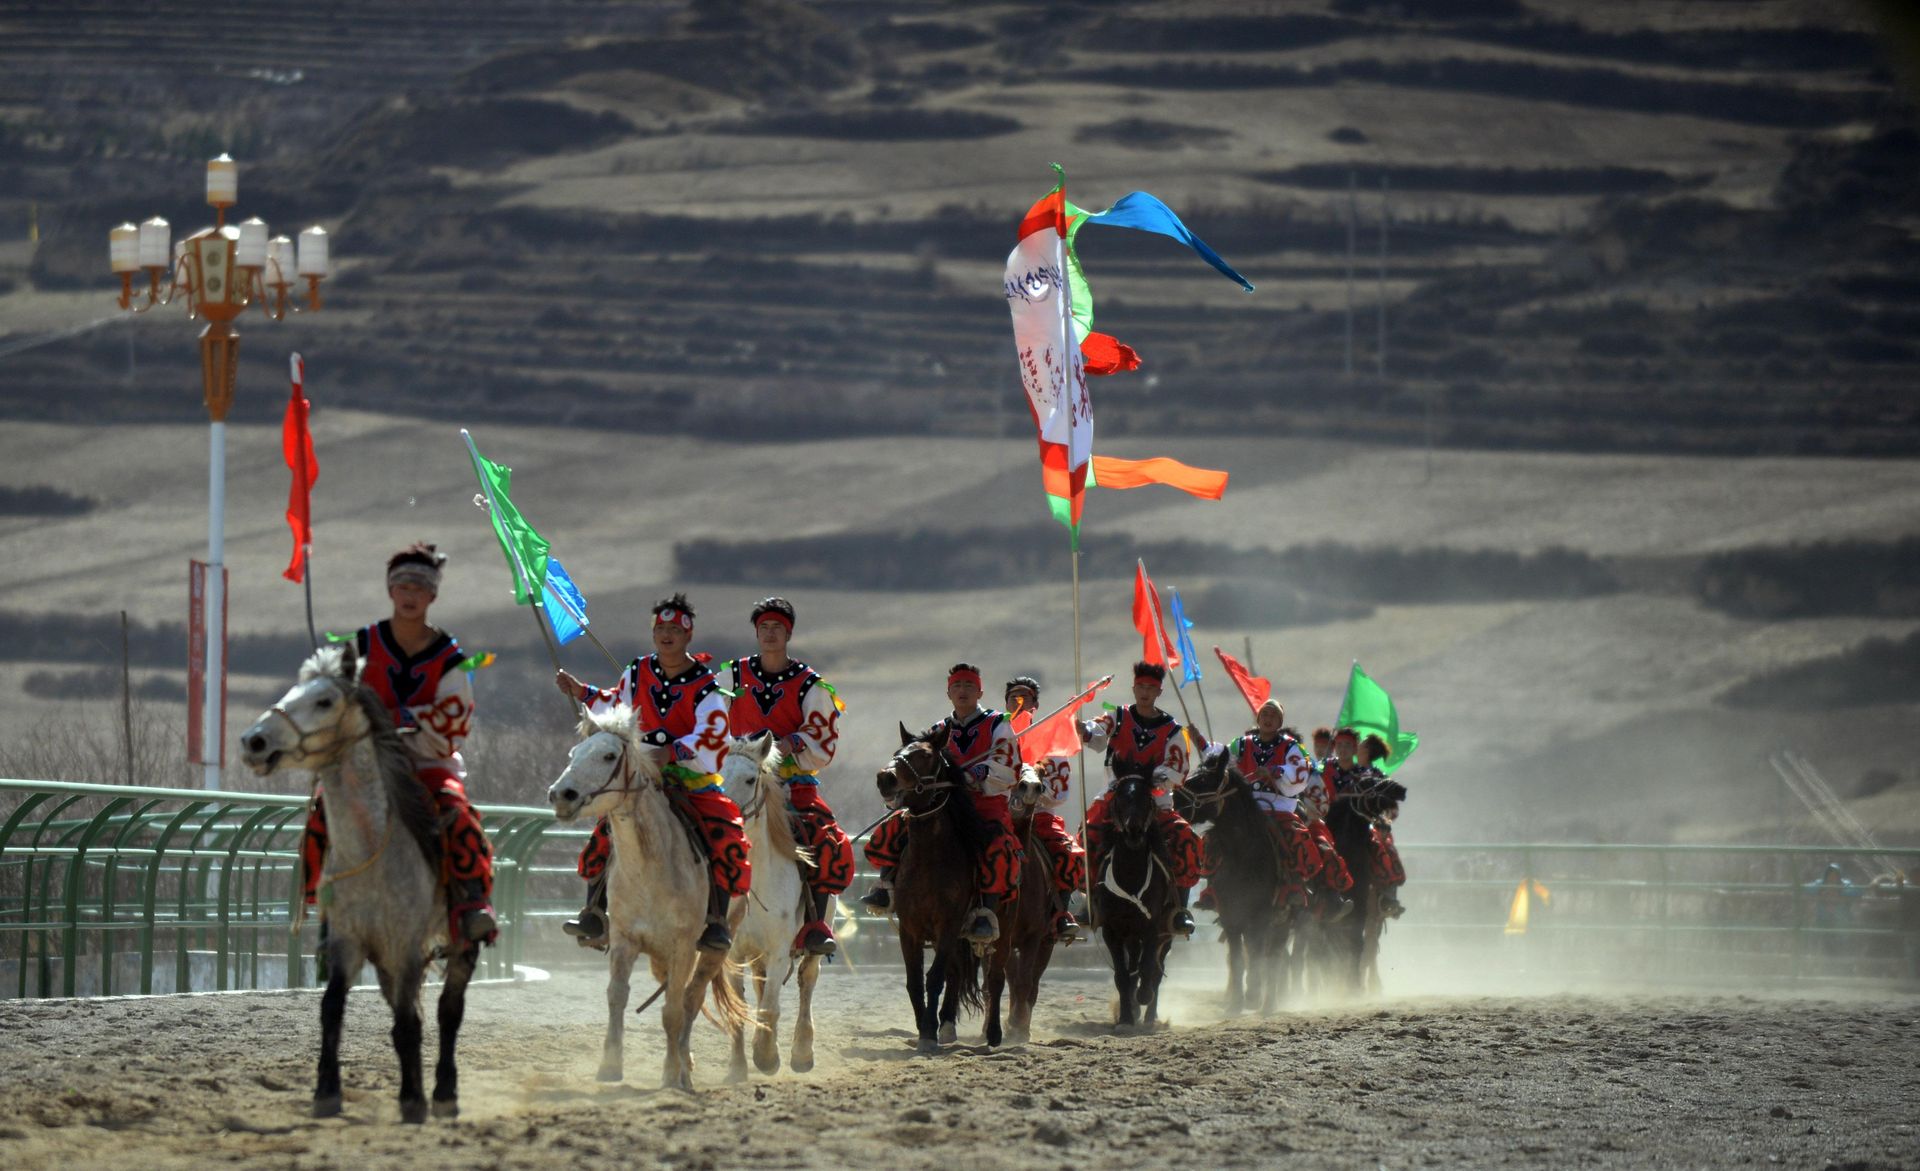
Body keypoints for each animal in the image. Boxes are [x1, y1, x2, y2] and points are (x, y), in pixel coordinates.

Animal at [240, 637, 480, 1121]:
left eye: (324, 700)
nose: (254, 741)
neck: (373, 850)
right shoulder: (347, 942)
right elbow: (333, 1008)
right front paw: (326, 1092)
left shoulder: (406, 946)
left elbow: (409, 1023)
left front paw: (413, 1100)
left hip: (460, 944)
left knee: (448, 1010)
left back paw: (444, 1093)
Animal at [549, 698, 748, 1090]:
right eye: (574, 753)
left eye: (609, 755)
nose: (562, 795)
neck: (649, 868)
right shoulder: (625, 938)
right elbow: (616, 996)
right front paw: (610, 1067)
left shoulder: (683, 945)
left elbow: (672, 1010)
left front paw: (671, 1074)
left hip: (714, 947)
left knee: (691, 997)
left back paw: (684, 1067)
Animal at [714, 729, 817, 1075]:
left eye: (750, 779)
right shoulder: (733, 952)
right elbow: (739, 1010)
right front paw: (736, 1068)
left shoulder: (779, 952)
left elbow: (771, 1007)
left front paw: (767, 1056)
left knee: (807, 981)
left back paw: (802, 1052)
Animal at [875, 721, 983, 1051]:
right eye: (897, 751)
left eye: (924, 755)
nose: (885, 777)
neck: (929, 862)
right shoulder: (909, 929)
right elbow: (914, 982)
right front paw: (923, 1026)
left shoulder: (948, 925)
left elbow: (935, 978)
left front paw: (929, 1031)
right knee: (955, 971)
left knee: (953, 972)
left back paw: (945, 1025)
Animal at [990, 771, 1067, 1044]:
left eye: (1041, 774)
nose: (1030, 787)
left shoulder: (1034, 938)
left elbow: (1025, 982)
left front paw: (1019, 1026)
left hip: (1047, 941)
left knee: (1030, 983)